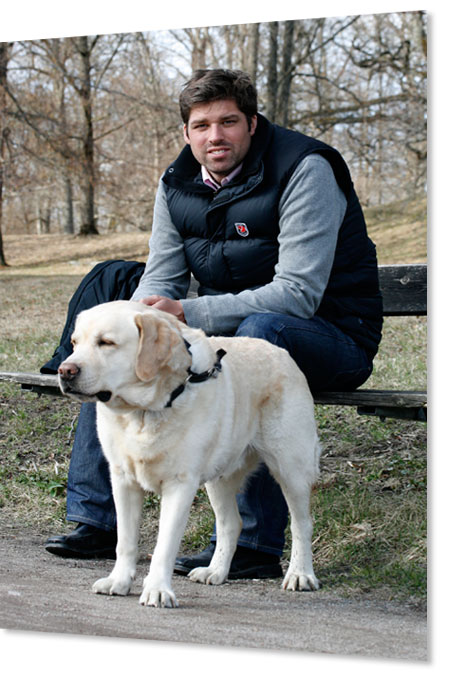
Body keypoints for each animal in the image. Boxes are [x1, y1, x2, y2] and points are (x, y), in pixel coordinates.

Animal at [59, 300, 320, 608]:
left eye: (106, 342)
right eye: (75, 343)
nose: (65, 370)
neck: (145, 411)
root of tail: (281, 352)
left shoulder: (180, 484)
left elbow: (164, 545)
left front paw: (157, 590)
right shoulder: (123, 479)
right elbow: (125, 540)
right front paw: (119, 581)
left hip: (291, 468)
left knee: (302, 524)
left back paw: (300, 574)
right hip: (220, 477)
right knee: (231, 523)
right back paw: (215, 571)